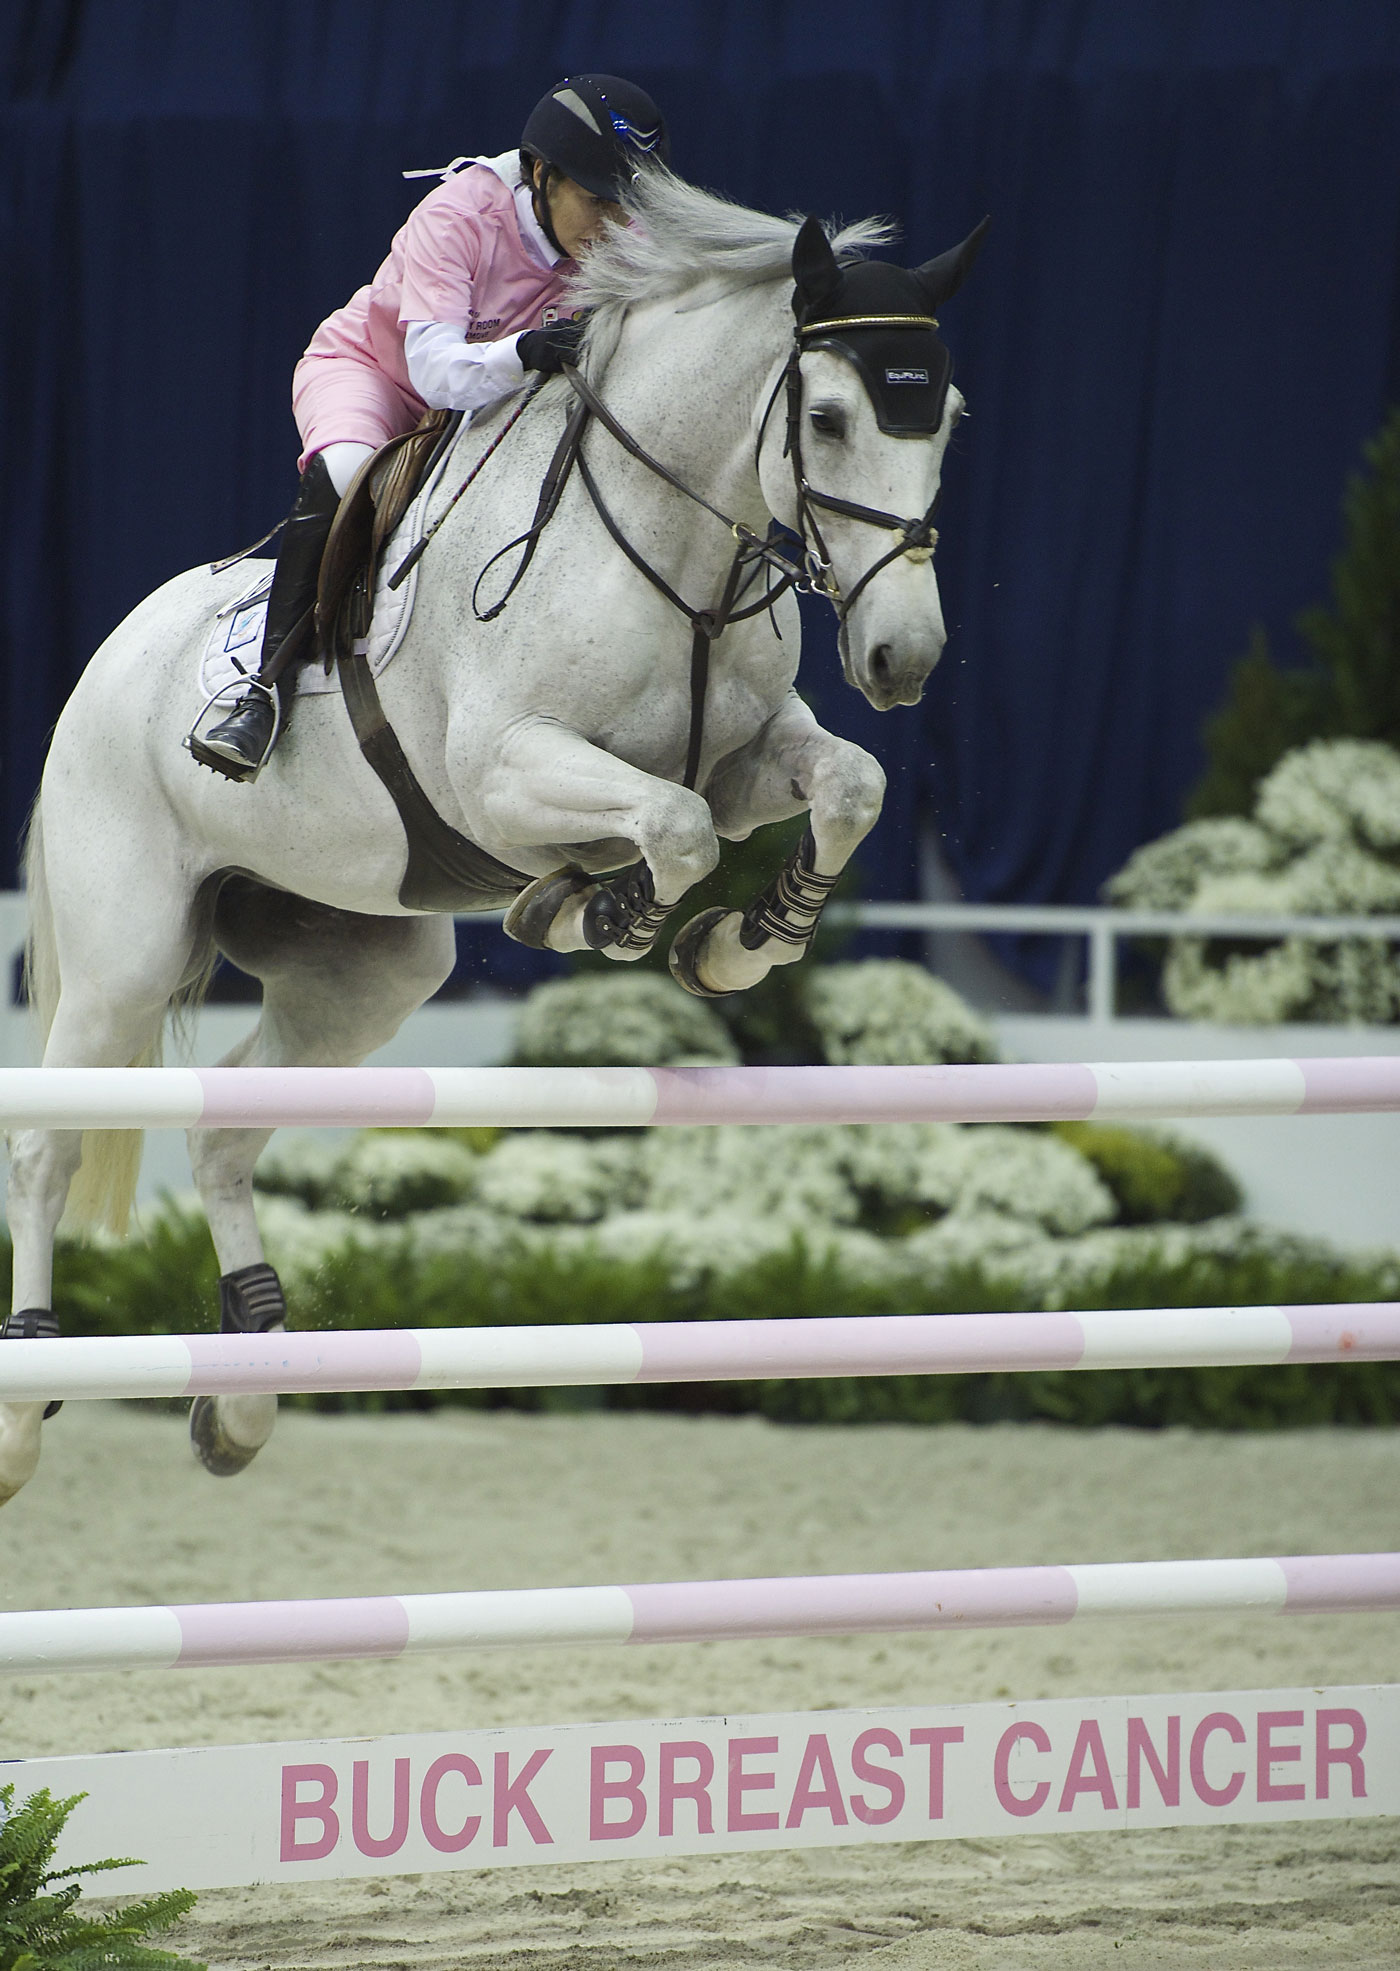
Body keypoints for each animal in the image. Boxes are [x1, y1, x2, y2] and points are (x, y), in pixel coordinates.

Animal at [0, 173, 985, 1490]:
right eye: (825, 419)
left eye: (944, 420)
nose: (901, 660)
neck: (670, 548)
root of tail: (101, 669)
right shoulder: (506, 772)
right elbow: (671, 829)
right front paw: (598, 910)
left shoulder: (746, 761)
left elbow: (844, 788)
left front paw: (735, 944)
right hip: (125, 961)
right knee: (48, 1147)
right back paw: (24, 1409)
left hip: (363, 973)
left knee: (225, 1131)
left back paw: (245, 1396)